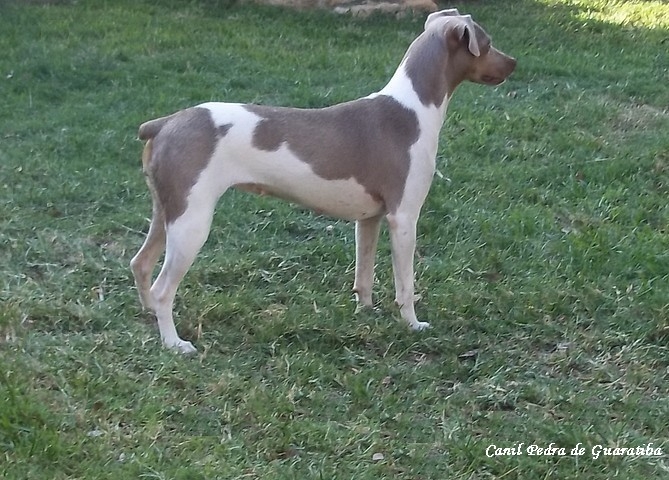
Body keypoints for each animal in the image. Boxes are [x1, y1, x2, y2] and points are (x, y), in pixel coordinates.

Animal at [130, 8, 516, 352]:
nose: (513, 63)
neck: (412, 109)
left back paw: (151, 314)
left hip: (167, 212)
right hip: (191, 223)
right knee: (164, 287)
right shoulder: (404, 218)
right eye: (487, 43)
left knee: (141, 264)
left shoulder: (370, 219)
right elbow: (405, 284)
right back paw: (174, 343)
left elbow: (364, 275)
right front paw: (413, 324)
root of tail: (164, 123)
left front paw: (365, 314)